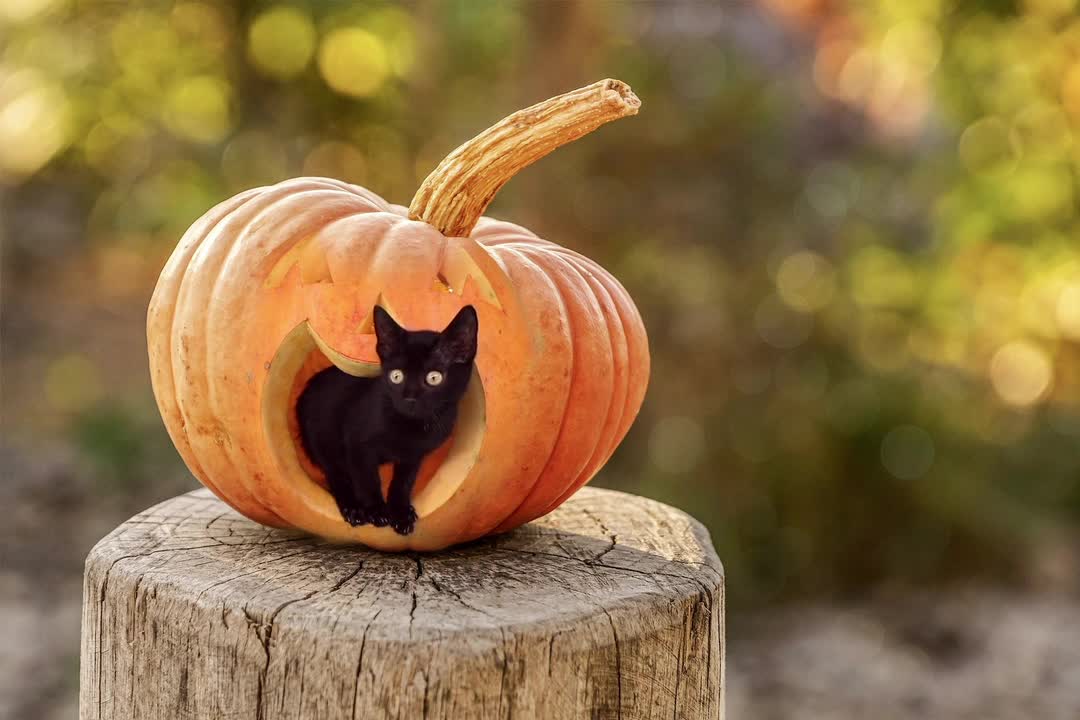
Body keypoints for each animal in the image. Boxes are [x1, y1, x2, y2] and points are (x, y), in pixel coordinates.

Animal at [298, 304, 479, 535]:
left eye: (434, 378)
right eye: (396, 376)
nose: (409, 398)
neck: (410, 426)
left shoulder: (414, 455)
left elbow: (404, 481)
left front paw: (400, 512)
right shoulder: (357, 443)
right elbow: (367, 478)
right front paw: (376, 510)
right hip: (322, 436)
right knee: (335, 473)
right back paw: (353, 507)